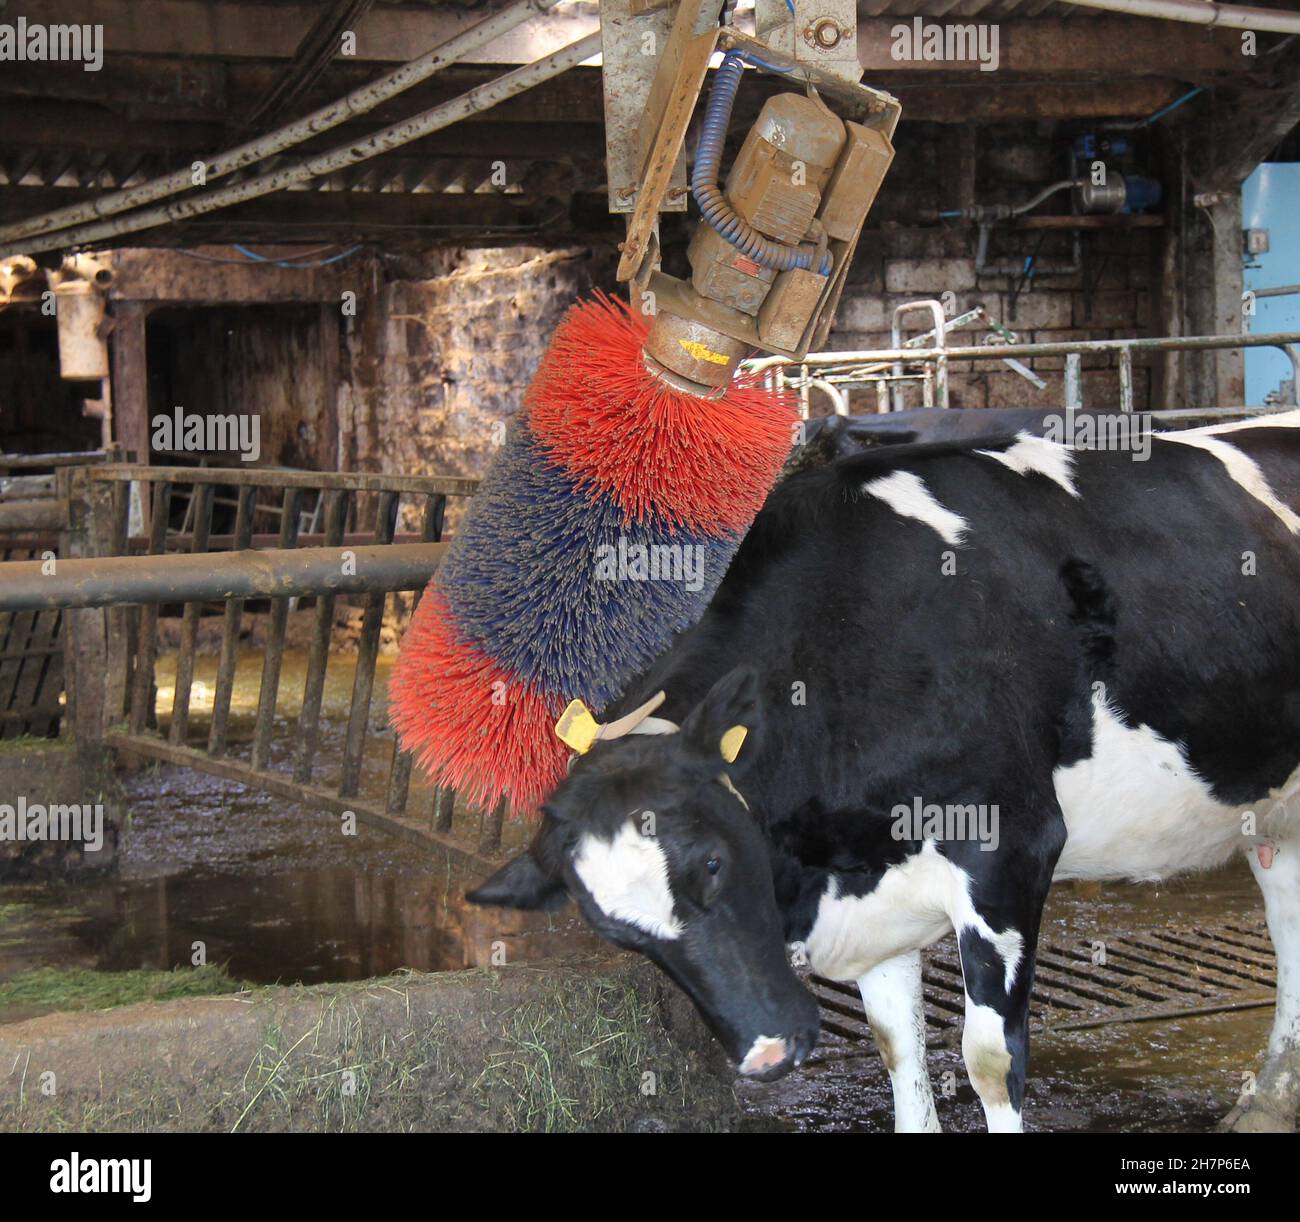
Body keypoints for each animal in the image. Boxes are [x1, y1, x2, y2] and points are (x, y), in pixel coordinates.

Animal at [468, 409, 1300, 1133]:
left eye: (712, 862)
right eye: (616, 930)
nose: (767, 1057)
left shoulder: (1010, 846)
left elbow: (990, 1060)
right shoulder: (876, 882)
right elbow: (898, 1045)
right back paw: (1267, 1103)